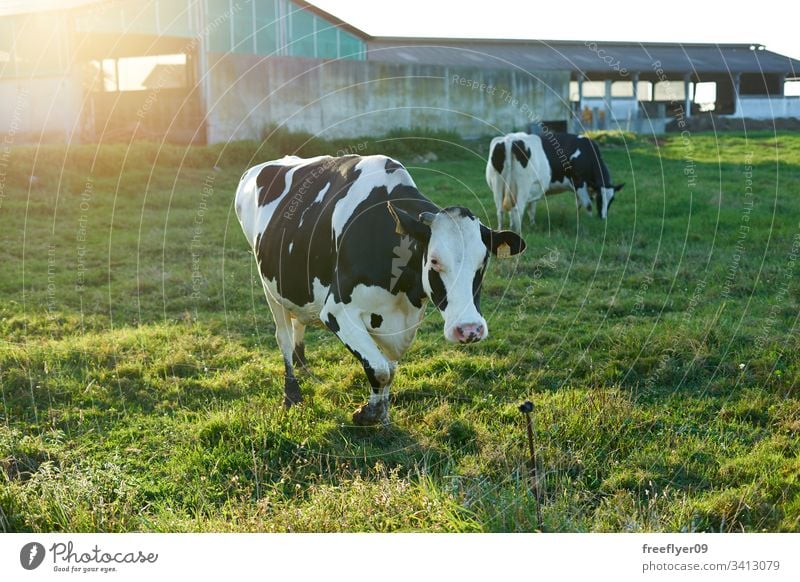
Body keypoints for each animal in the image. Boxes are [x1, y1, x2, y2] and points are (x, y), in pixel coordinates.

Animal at [234, 155, 528, 426]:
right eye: (434, 261)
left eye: (483, 261)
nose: (469, 330)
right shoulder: (337, 310)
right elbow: (379, 368)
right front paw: (368, 414)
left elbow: (390, 369)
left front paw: (382, 413)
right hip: (268, 285)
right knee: (282, 335)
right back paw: (292, 394)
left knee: (299, 322)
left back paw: (302, 363)